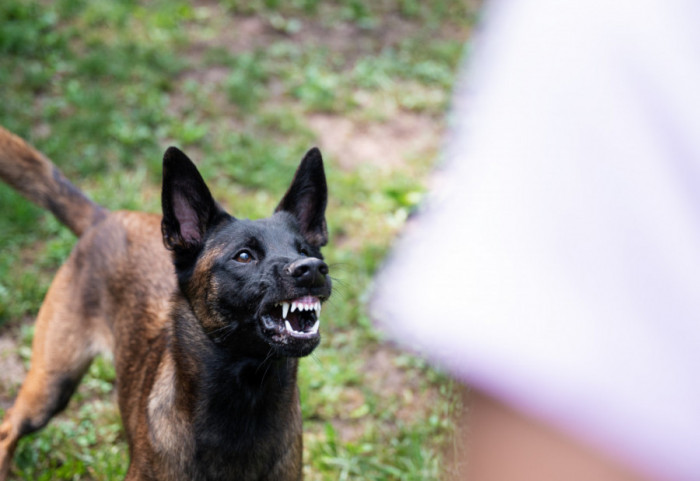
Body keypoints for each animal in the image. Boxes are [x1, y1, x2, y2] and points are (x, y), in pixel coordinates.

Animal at [0, 124, 330, 480]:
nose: (312, 269)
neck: (247, 394)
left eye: (305, 251)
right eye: (244, 256)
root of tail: (104, 219)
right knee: (9, 428)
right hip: (51, 384)